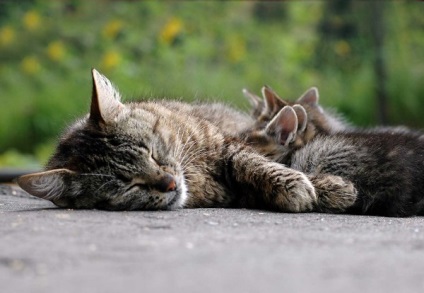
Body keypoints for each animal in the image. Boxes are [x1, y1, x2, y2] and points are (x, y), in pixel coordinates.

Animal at [16, 70, 358, 213]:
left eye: (152, 154)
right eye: (127, 184)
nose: (169, 183)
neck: (193, 170)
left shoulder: (229, 145)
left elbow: (256, 163)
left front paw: (315, 185)